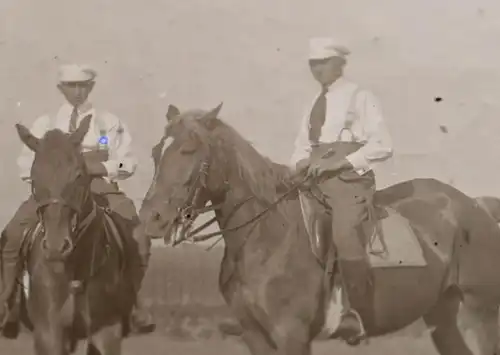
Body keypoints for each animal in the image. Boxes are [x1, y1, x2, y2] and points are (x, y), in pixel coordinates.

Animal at [138, 103, 500, 355]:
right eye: (156, 151)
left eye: (189, 149)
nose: (151, 219)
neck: (266, 239)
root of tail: (477, 205)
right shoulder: (255, 335)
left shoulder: (291, 335)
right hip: (445, 318)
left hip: (482, 317)